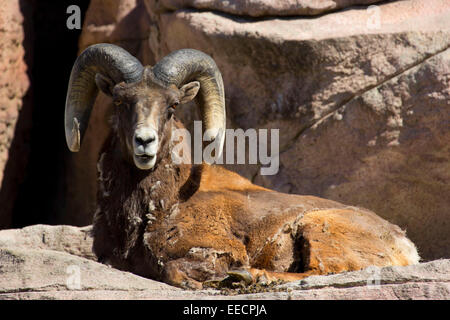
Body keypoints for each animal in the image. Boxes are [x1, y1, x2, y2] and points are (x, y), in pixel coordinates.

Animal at [65, 43, 420, 288]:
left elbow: (173, 271)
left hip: (316, 228)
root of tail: (403, 243)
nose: (144, 142)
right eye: (120, 101)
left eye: (172, 105)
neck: (159, 205)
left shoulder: (216, 249)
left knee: (322, 271)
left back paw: (251, 278)